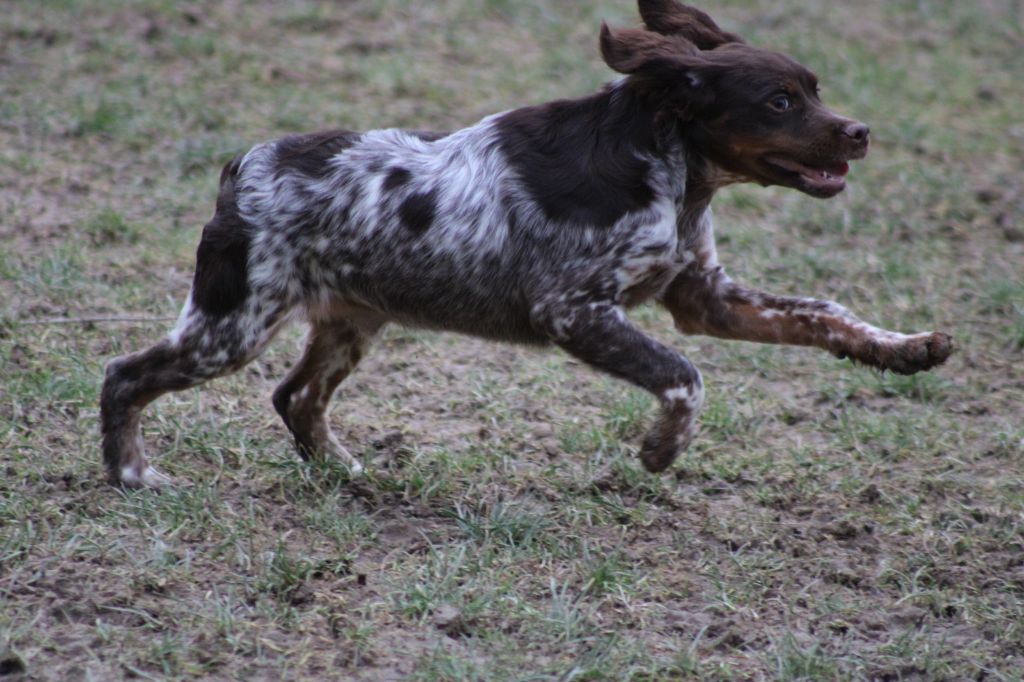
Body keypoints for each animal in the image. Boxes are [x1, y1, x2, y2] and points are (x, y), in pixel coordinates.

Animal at [97, 1, 950, 489]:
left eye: (816, 88)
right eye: (778, 101)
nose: (860, 133)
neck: (666, 162)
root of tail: (243, 166)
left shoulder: (702, 296)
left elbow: (824, 312)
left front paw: (907, 349)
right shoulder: (573, 309)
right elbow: (685, 379)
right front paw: (659, 451)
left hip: (349, 319)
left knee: (295, 396)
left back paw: (346, 472)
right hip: (232, 322)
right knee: (123, 375)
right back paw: (131, 473)